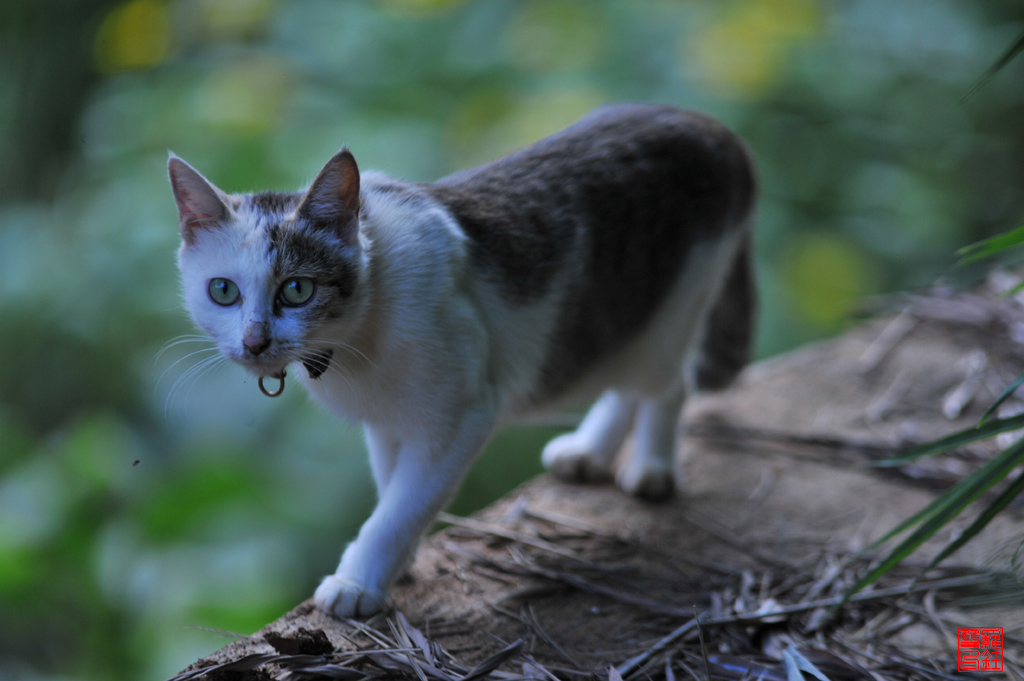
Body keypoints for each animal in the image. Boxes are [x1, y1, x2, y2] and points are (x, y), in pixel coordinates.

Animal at [167, 103, 757, 618]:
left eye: (296, 289)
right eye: (223, 291)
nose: (254, 342)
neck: (362, 335)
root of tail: (711, 127)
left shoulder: (460, 415)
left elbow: (402, 505)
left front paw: (360, 579)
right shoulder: (388, 423)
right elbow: (394, 488)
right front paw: (397, 564)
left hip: (673, 309)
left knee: (667, 386)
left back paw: (651, 469)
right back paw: (589, 451)